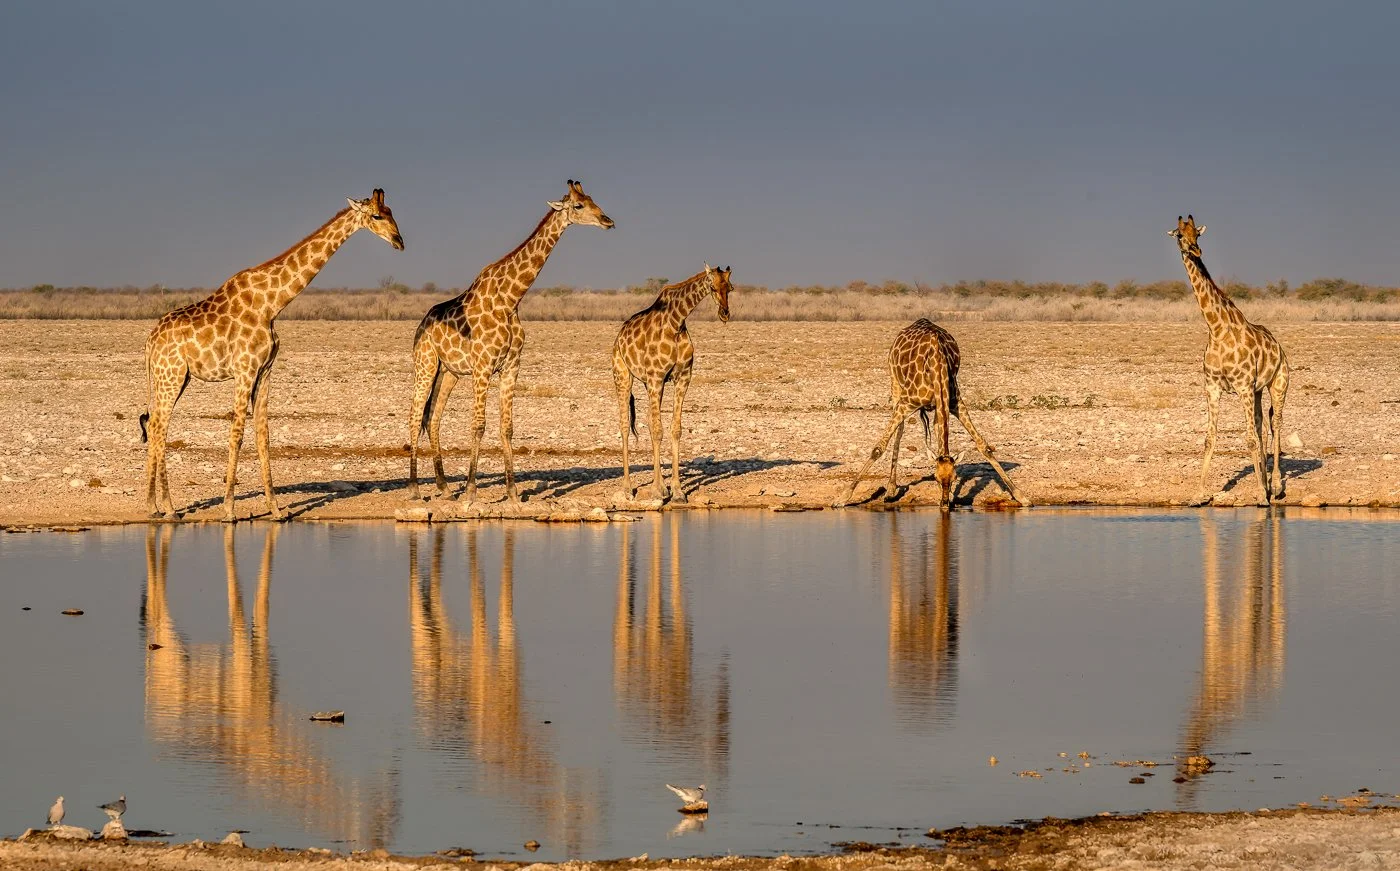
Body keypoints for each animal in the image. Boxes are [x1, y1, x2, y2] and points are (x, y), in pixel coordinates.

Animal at [140, 190, 404, 521]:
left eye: (393, 212)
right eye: (377, 216)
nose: (399, 241)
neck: (272, 304)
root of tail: (150, 341)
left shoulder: (265, 370)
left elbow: (263, 433)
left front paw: (276, 509)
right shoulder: (245, 369)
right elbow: (238, 431)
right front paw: (229, 509)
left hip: (176, 376)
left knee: (155, 424)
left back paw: (154, 506)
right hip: (171, 374)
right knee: (159, 426)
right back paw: (170, 508)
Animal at [407, 180, 613, 502]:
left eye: (593, 200)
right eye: (579, 205)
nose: (607, 221)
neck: (511, 299)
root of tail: (422, 324)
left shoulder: (511, 366)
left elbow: (507, 428)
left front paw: (513, 492)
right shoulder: (482, 367)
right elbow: (478, 426)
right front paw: (471, 491)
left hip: (449, 372)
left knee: (433, 418)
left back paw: (444, 487)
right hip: (425, 363)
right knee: (416, 417)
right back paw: (416, 488)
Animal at [612, 265, 732, 502]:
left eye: (730, 288)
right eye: (713, 287)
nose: (725, 313)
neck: (676, 322)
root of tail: (619, 336)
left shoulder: (682, 377)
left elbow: (675, 429)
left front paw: (676, 491)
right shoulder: (657, 376)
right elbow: (658, 431)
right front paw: (658, 490)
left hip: (648, 383)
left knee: (648, 422)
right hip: (622, 375)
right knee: (624, 425)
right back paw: (627, 488)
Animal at [837, 319, 1027, 508]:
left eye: (954, 478)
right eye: (935, 478)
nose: (944, 504)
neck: (937, 365)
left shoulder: (955, 403)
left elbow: (984, 446)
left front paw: (1021, 496)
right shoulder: (906, 403)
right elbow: (878, 448)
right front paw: (842, 497)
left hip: (936, 406)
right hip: (895, 383)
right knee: (899, 430)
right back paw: (890, 490)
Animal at [1169, 215, 1289, 505]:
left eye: (1198, 234)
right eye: (1179, 234)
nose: (1195, 250)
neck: (1216, 329)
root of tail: (1279, 347)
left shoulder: (1243, 385)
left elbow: (1249, 439)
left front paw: (1261, 496)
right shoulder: (1213, 386)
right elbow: (1210, 438)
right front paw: (1199, 494)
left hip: (1278, 384)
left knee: (1275, 424)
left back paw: (1275, 486)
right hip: (1258, 391)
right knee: (1261, 425)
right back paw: (1266, 482)